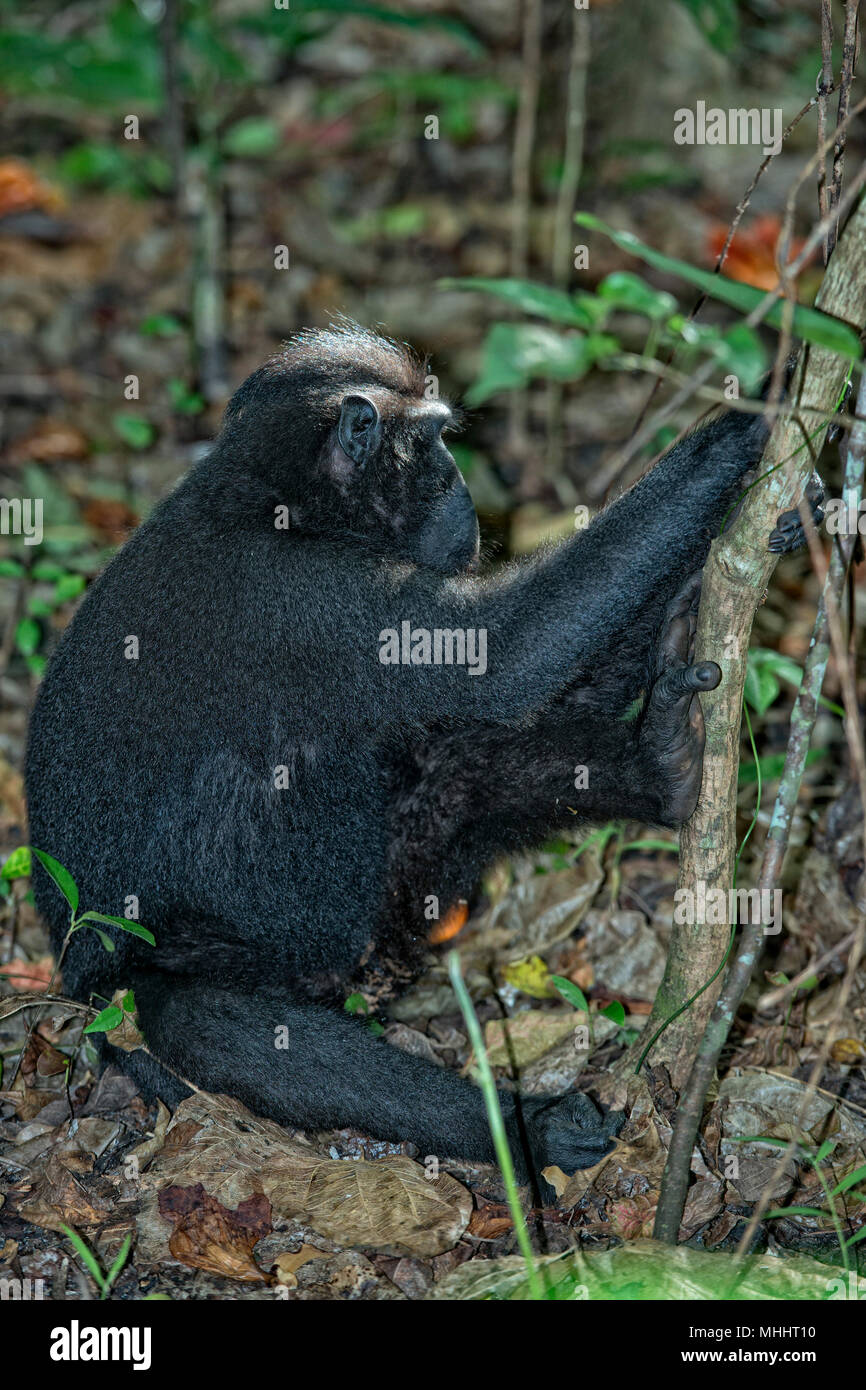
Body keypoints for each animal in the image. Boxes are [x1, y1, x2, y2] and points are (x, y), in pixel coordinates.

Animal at [25, 322, 823, 1184]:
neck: (281, 505)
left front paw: (778, 519)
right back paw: (526, 1131)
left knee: (455, 772)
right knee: (208, 1020)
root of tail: (72, 983)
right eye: (437, 440)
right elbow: (510, 654)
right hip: (144, 1002)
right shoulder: (317, 599)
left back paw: (661, 764)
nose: (464, 487)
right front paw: (748, 418)